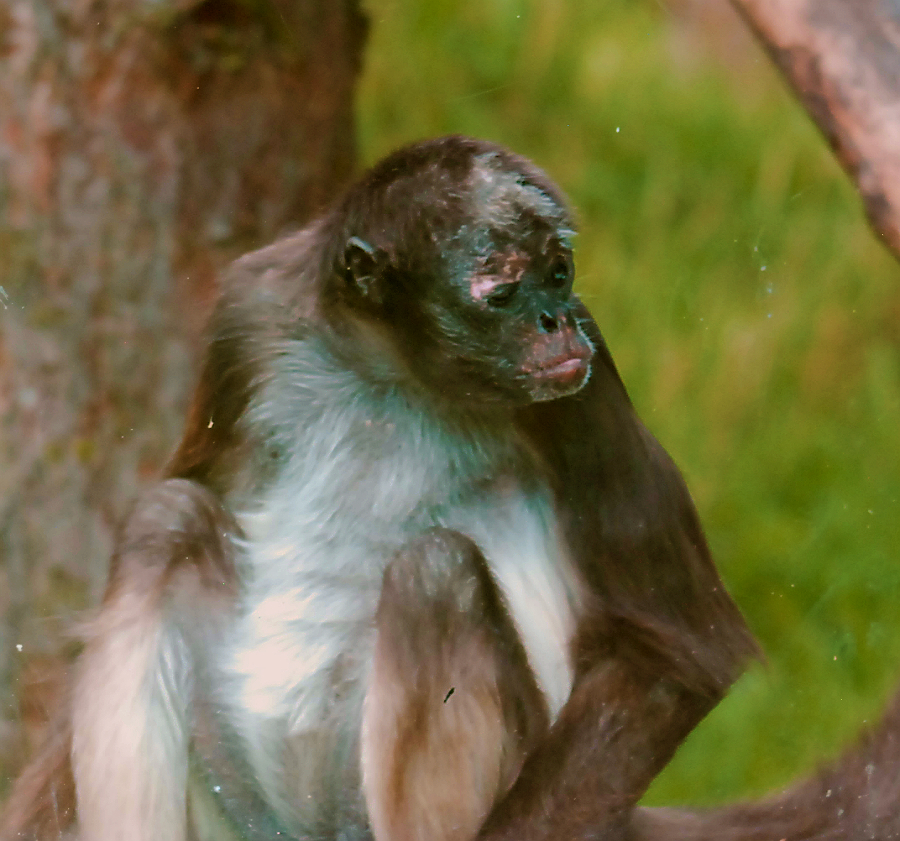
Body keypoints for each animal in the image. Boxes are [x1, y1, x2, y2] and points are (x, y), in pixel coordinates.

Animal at [0, 135, 758, 841]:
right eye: (505, 294)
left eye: (559, 273)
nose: (557, 319)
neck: (389, 369)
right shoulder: (249, 311)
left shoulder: (583, 384)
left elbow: (680, 654)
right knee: (167, 519)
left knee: (434, 574)